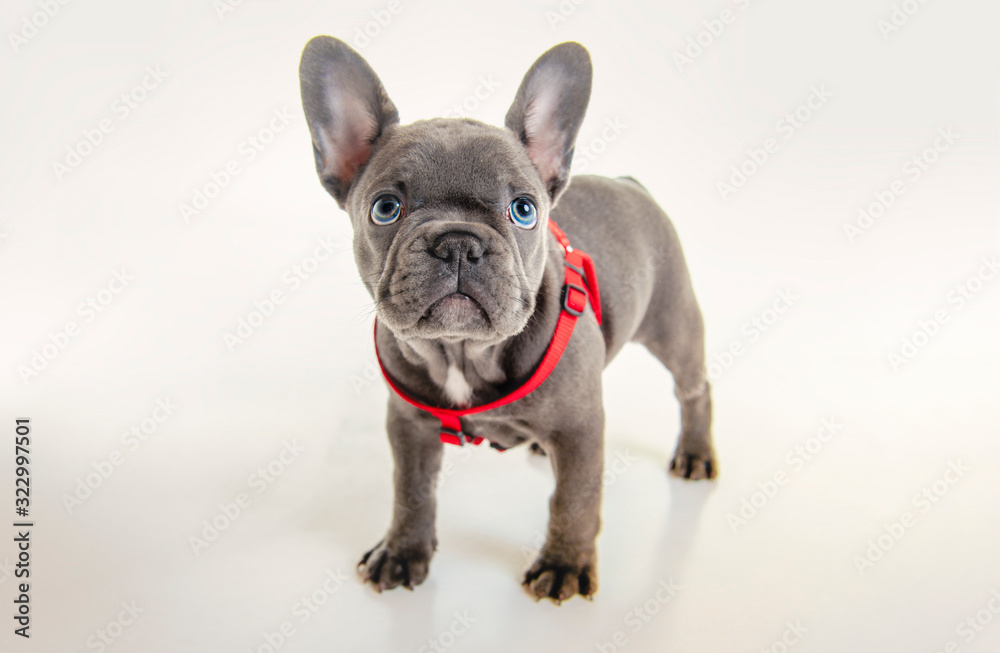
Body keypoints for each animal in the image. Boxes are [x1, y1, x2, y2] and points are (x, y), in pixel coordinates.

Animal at [298, 37, 720, 600]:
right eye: (385, 208)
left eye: (524, 210)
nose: (458, 242)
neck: (461, 351)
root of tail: (632, 184)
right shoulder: (409, 426)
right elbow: (411, 491)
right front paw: (403, 551)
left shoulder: (581, 431)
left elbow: (574, 500)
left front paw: (564, 564)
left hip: (674, 326)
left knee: (693, 388)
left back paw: (695, 453)